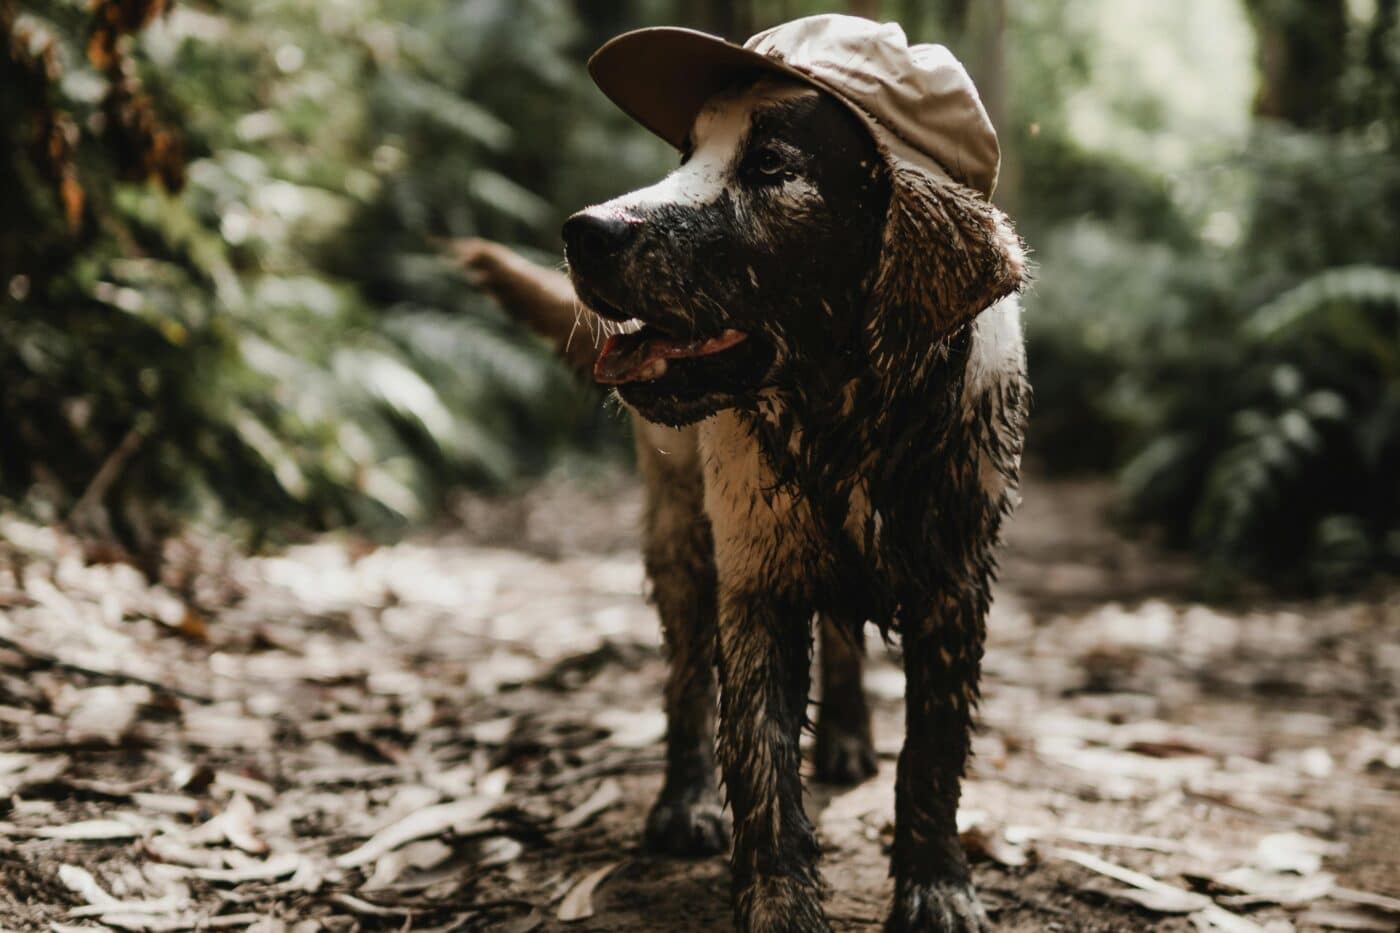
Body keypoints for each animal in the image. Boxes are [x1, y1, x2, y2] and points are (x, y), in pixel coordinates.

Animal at [459, 45, 1030, 933]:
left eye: (769, 166)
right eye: (682, 157)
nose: (583, 232)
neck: (850, 422)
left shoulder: (955, 584)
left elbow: (931, 755)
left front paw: (937, 886)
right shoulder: (757, 580)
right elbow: (761, 765)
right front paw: (779, 902)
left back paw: (847, 740)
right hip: (681, 536)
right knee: (689, 678)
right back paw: (685, 799)